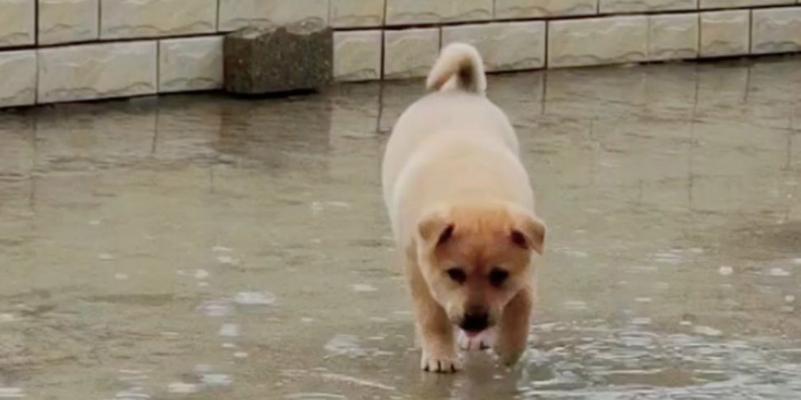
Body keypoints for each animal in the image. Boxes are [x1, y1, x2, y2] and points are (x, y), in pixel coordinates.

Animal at [380, 42, 544, 374]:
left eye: (499, 275)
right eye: (454, 273)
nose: (474, 322)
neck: (473, 192)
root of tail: (459, 90)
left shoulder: (526, 269)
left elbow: (521, 307)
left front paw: (509, 349)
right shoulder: (418, 267)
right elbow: (432, 315)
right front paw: (440, 355)